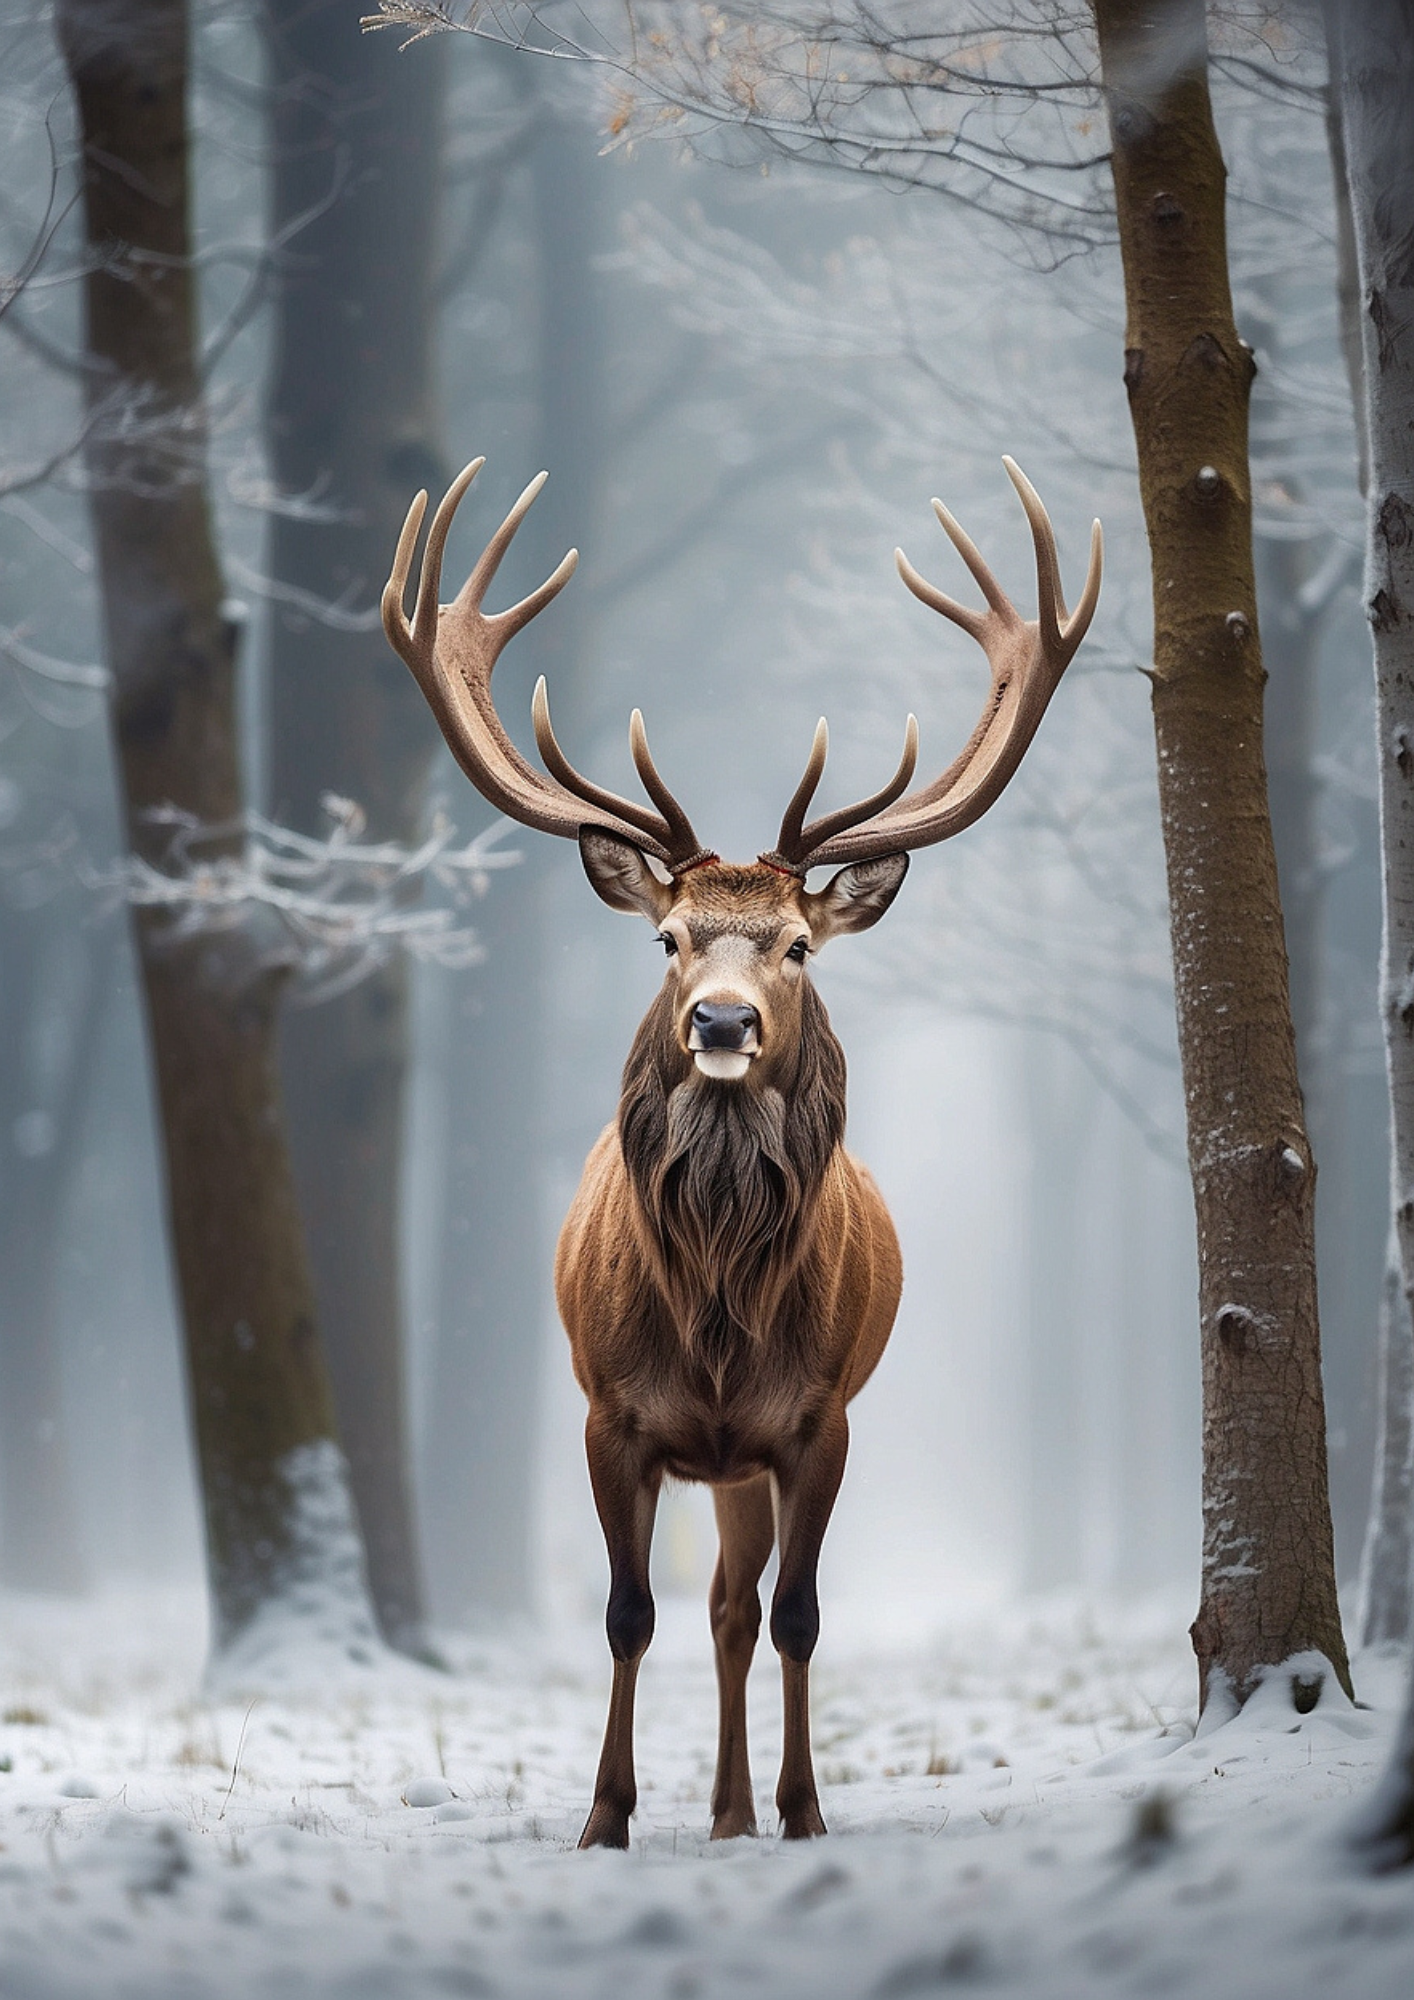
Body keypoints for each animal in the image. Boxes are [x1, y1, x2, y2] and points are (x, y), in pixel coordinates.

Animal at [382, 456, 1101, 1849]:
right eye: (667, 937)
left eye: (798, 945)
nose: (722, 1022)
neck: (714, 1307)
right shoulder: (609, 1411)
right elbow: (626, 1611)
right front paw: (603, 1816)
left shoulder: (816, 1419)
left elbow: (798, 1616)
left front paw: (802, 1809)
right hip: (702, 1461)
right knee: (707, 1604)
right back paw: (709, 1808)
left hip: (746, 1462)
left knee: (734, 1605)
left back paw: (732, 1809)